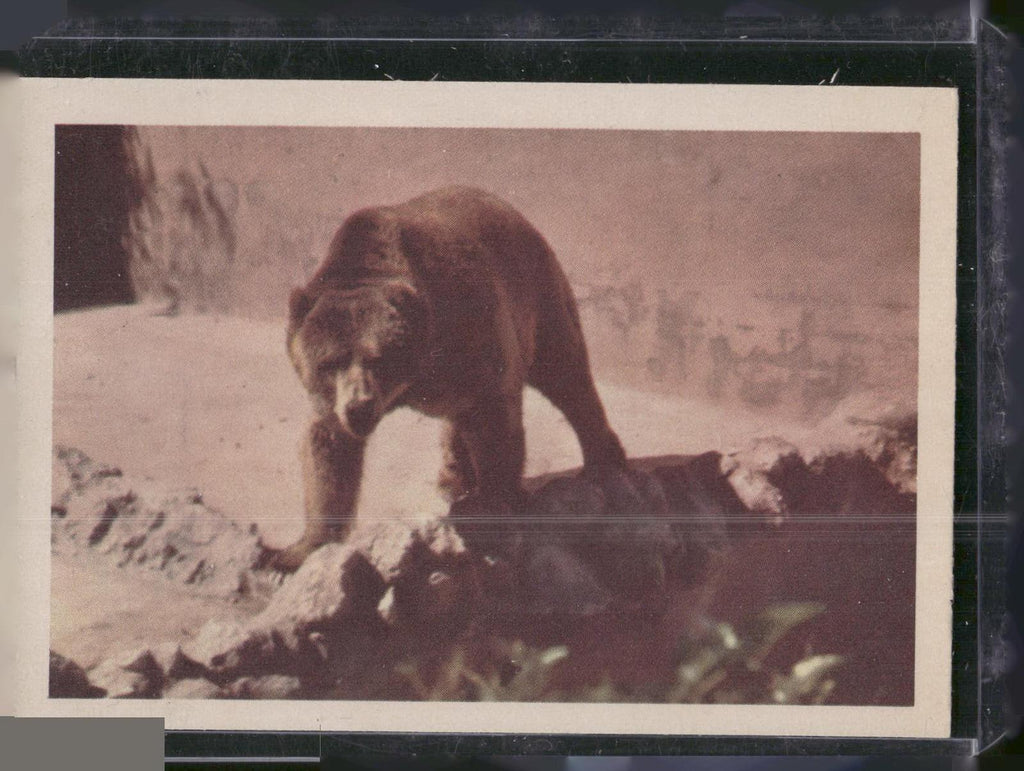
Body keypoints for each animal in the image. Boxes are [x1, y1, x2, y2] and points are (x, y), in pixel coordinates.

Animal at [268, 186, 628, 572]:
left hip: (536, 292)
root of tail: (505, 204)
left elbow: (494, 418)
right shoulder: (333, 397)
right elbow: (329, 451)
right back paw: (453, 475)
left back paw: (603, 458)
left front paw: (496, 504)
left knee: (566, 372)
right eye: (330, 362)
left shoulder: (468, 330)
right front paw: (299, 549)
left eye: (378, 359)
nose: (359, 407)